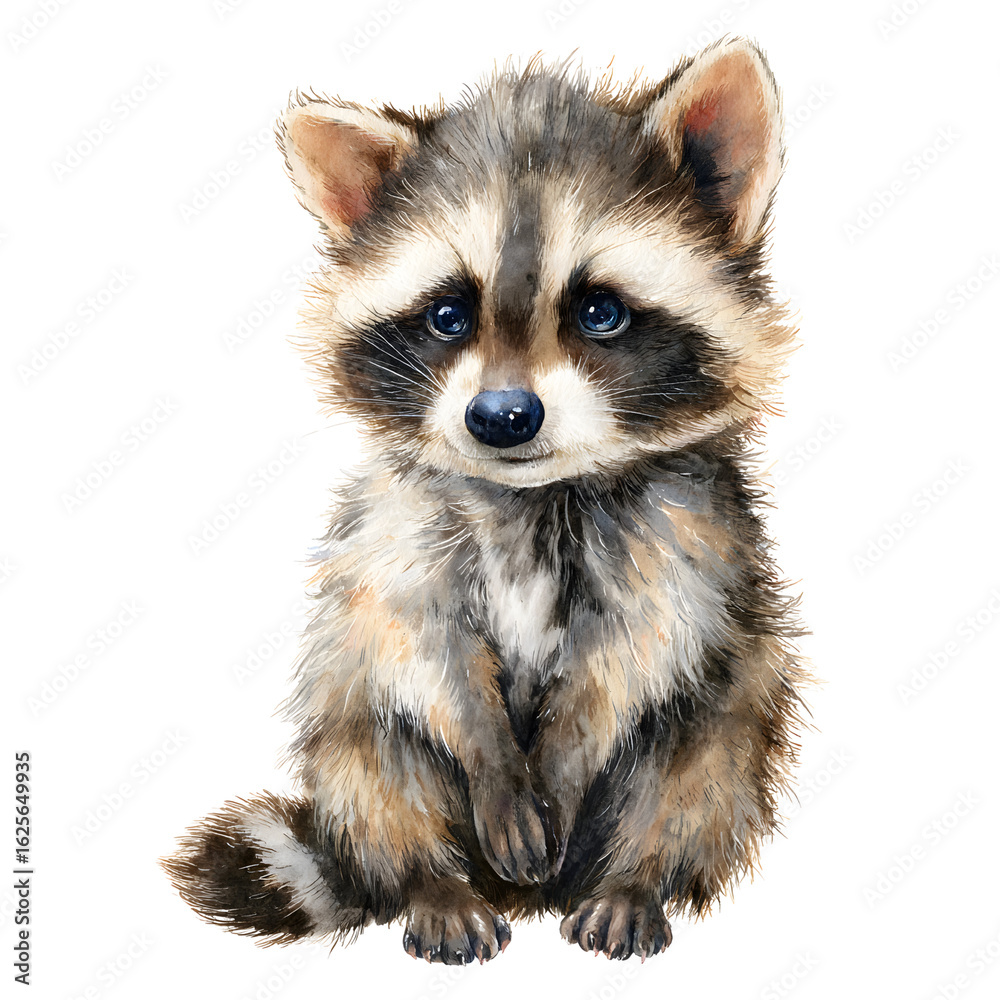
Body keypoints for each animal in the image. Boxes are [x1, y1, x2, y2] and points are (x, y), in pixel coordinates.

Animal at [163, 37, 808, 964]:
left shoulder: (684, 542)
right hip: (345, 716)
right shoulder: (395, 534)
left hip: (743, 704)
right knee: (372, 750)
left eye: (599, 311)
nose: (502, 417)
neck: (528, 495)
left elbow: (634, 659)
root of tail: (524, 897)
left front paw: (564, 765)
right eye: (447, 315)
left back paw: (634, 879)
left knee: (701, 759)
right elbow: (424, 652)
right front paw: (495, 766)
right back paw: (432, 883)